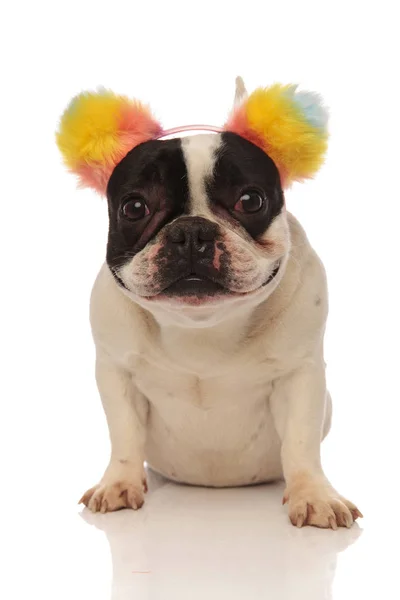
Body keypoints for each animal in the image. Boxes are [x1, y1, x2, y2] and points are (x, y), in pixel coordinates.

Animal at [57, 78, 360, 524]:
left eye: (250, 200)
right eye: (134, 206)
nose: (191, 231)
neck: (201, 327)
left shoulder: (299, 374)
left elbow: (301, 442)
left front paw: (314, 495)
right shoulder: (117, 372)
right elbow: (124, 433)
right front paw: (119, 483)